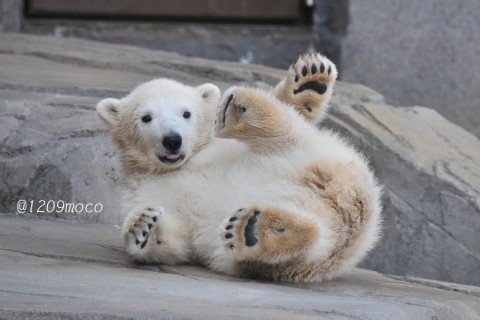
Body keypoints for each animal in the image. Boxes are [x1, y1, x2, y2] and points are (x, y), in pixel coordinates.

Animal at [96, 53, 382, 282]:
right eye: (146, 117)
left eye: (186, 113)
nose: (172, 139)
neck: (177, 166)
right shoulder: (142, 191)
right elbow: (176, 239)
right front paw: (142, 226)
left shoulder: (220, 148)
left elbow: (294, 111)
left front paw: (308, 84)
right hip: (303, 259)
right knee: (304, 247)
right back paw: (255, 230)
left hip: (312, 154)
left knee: (283, 130)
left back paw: (242, 107)